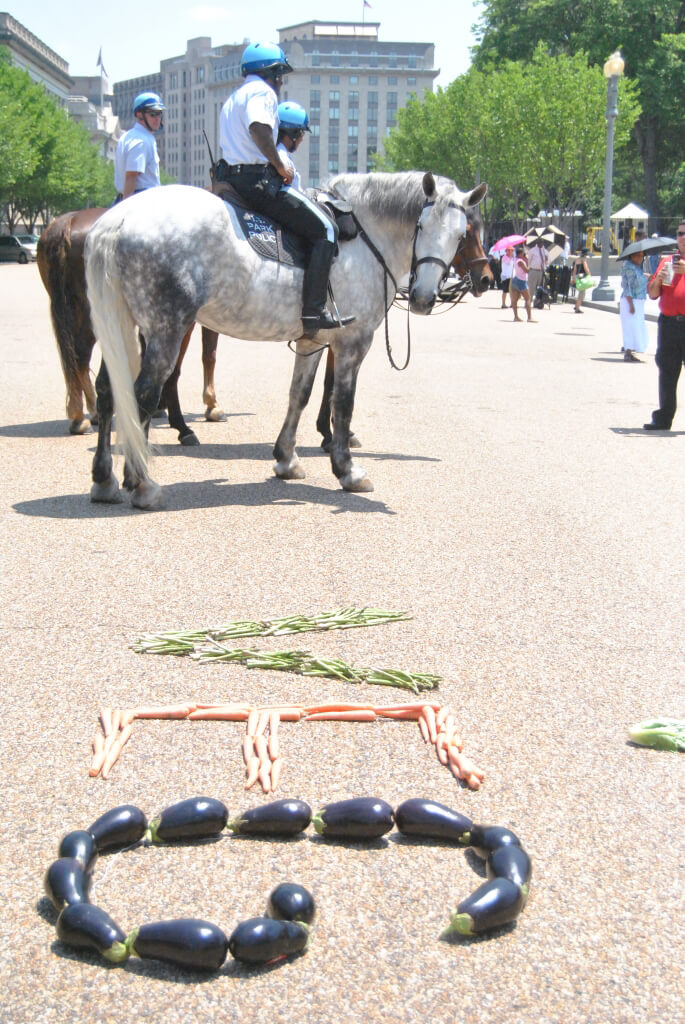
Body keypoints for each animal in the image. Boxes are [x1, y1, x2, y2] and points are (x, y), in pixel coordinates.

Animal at [36, 207, 224, 440]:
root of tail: (68, 221)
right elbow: (208, 356)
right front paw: (211, 405)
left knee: (75, 357)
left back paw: (84, 414)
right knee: (80, 354)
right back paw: (87, 415)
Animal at [82, 172, 483, 507]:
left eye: (459, 234)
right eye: (421, 225)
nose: (423, 298)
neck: (364, 237)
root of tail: (119, 218)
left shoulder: (312, 342)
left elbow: (299, 395)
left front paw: (286, 459)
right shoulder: (352, 344)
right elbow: (343, 403)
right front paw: (347, 469)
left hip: (120, 326)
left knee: (107, 391)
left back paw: (104, 480)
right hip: (165, 330)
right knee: (143, 395)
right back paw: (142, 483)